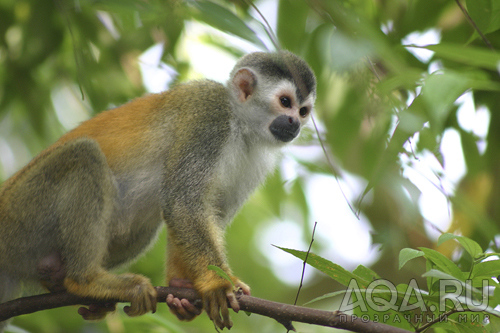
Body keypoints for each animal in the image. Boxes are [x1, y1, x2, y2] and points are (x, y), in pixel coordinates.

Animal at [0, 50, 314, 328]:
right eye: (284, 101)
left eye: (303, 111)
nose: (294, 123)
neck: (242, 126)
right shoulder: (209, 116)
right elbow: (184, 202)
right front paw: (217, 284)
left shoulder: (257, 160)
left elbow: (204, 212)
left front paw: (181, 289)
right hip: (20, 213)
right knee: (83, 156)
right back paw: (86, 281)